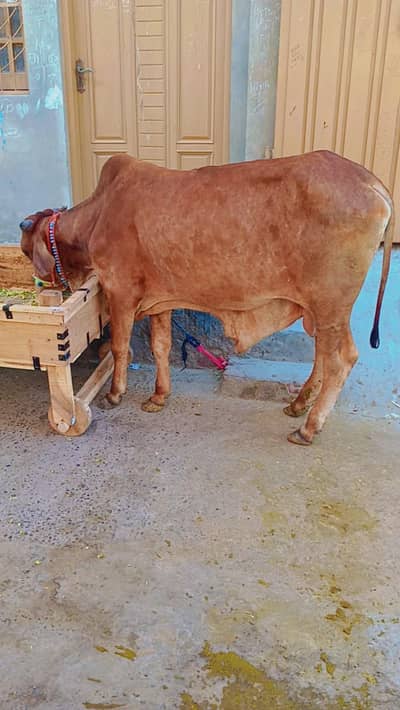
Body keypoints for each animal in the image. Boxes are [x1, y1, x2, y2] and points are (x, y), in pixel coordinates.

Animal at [19, 150, 393, 445]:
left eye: (25, 251)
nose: (41, 285)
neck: (97, 215)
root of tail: (371, 181)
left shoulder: (120, 292)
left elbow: (120, 347)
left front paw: (114, 394)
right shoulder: (160, 302)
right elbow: (160, 346)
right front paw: (159, 396)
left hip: (331, 305)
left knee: (341, 359)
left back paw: (309, 427)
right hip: (318, 310)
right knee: (322, 355)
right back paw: (298, 405)